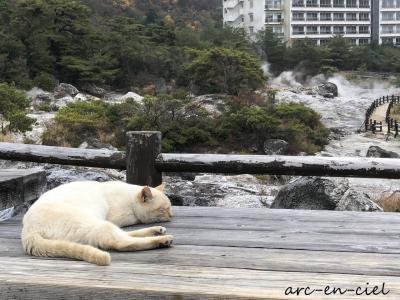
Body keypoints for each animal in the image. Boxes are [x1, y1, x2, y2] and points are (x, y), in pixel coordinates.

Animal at [20, 180, 173, 264]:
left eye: (170, 208)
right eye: (164, 210)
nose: (171, 215)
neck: (130, 196)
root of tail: (28, 232)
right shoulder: (119, 218)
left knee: (125, 236)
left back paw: (157, 231)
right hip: (96, 223)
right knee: (122, 242)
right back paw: (163, 240)